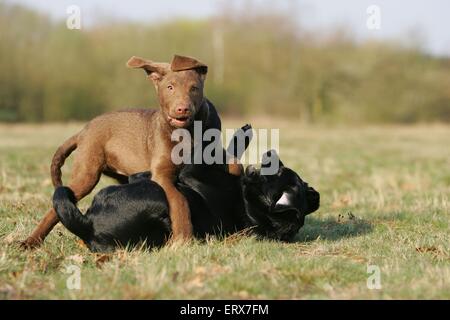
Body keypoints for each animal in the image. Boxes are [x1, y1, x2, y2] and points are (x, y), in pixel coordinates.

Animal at [21, 54, 229, 248]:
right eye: (170, 87)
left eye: (194, 88)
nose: (182, 109)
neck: (188, 131)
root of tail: (83, 131)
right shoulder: (162, 174)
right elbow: (179, 201)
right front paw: (183, 238)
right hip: (87, 173)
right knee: (54, 209)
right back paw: (31, 241)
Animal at [53, 126, 320, 251]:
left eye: (279, 172)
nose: (272, 152)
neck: (249, 204)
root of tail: (88, 229)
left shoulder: (192, 171)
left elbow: (213, 150)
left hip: (156, 196)